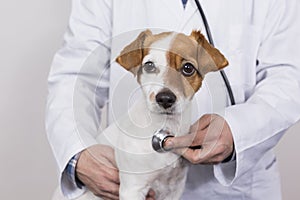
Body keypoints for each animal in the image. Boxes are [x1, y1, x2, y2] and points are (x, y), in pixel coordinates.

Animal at [64, 30, 227, 200]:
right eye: (149, 66)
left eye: (188, 68)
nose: (165, 99)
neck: (163, 126)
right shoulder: (132, 189)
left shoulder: (174, 189)